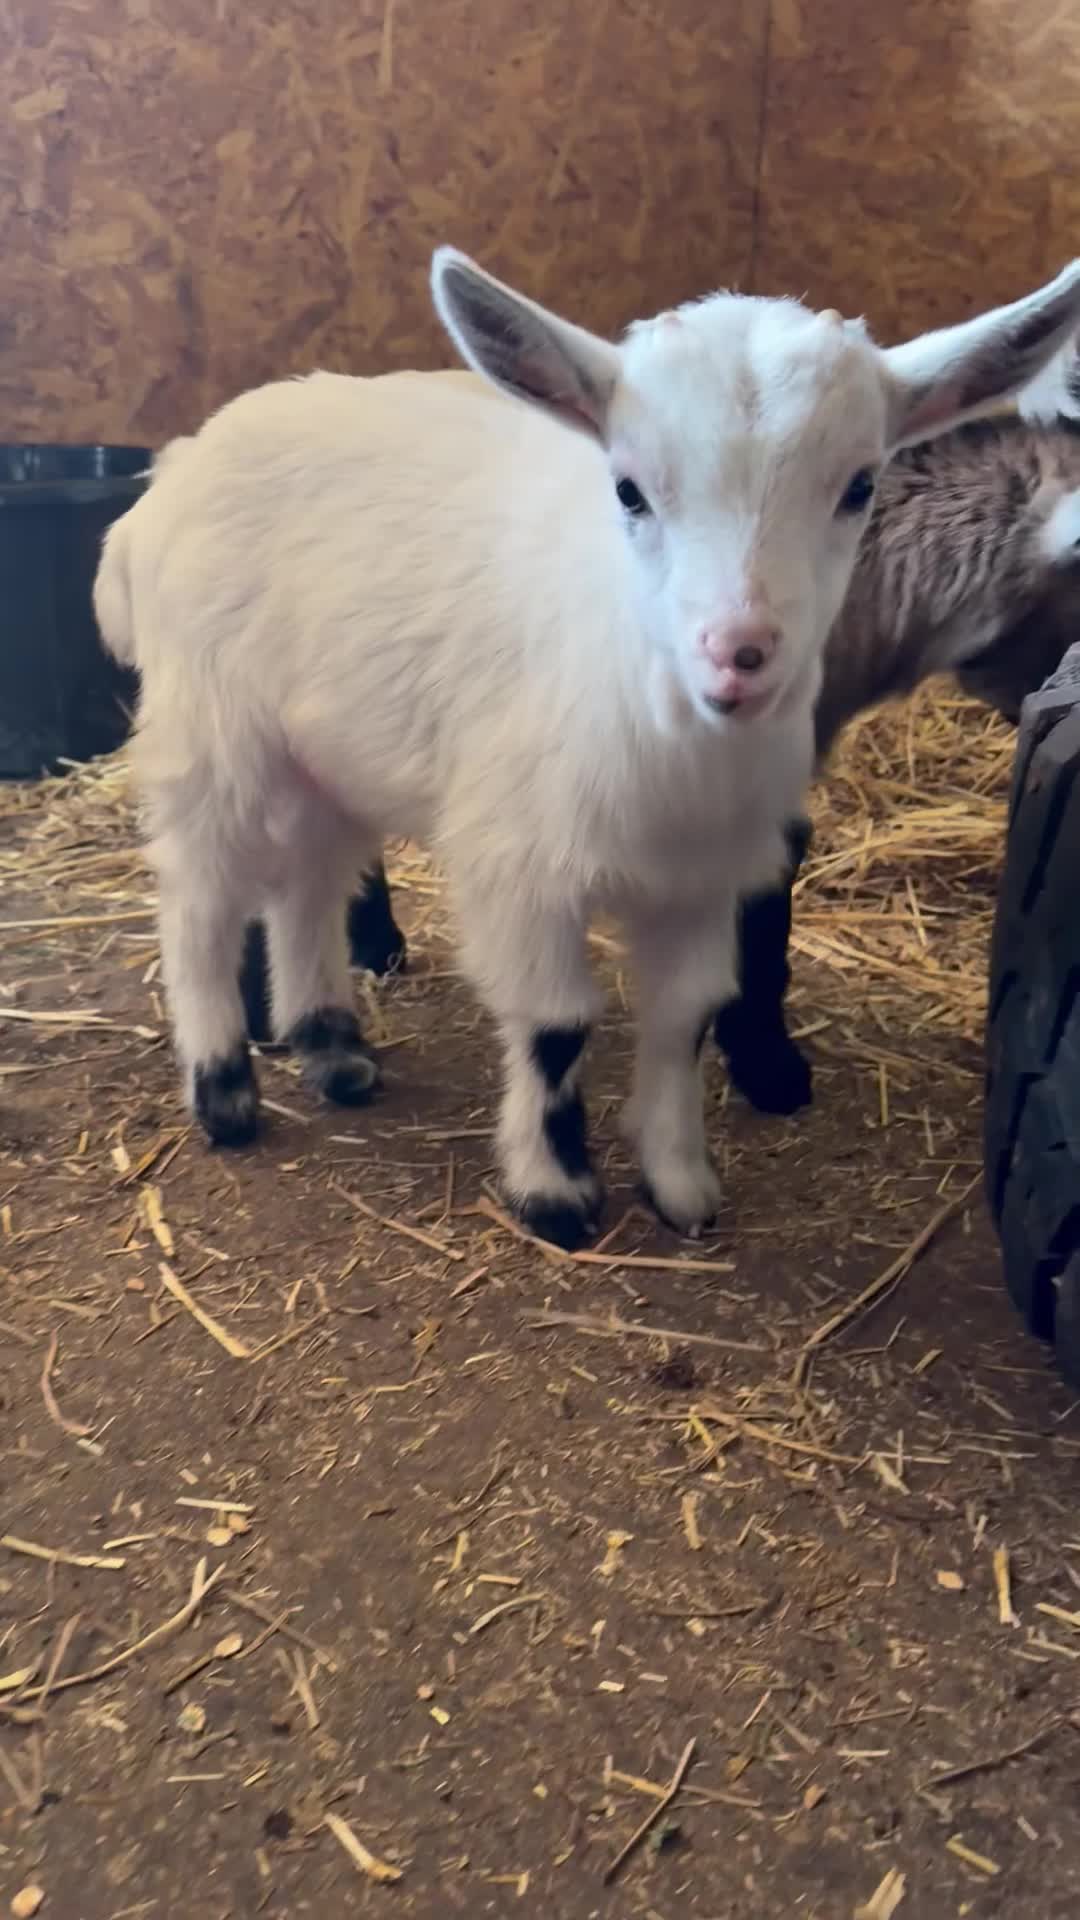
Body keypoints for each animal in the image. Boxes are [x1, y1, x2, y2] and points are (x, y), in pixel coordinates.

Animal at [95, 248, 1080, 1247]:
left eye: (858, 488)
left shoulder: (704, 881)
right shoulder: (519, 866)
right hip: (212, 734)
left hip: (324, 752)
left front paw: (680, 1183)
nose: (739, 654)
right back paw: (224, 1092)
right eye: (629, 489)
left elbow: (685, 1018)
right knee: (200, 899)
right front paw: (555, 1193)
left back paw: (332, 1048)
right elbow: (555, 1026)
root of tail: (168, 477)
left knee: (308, 879)